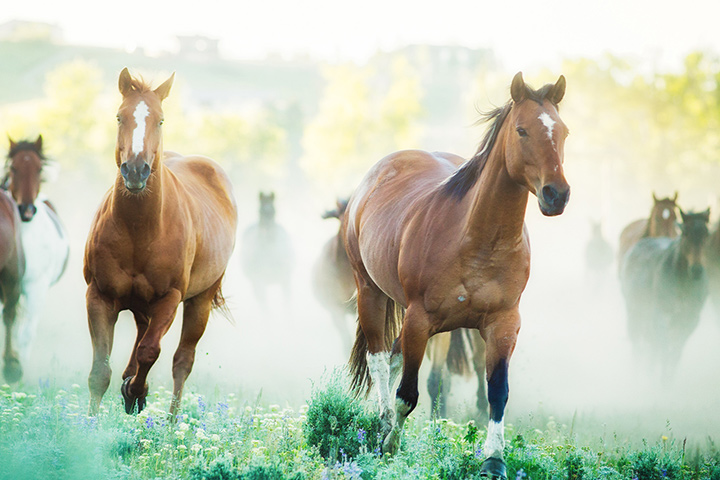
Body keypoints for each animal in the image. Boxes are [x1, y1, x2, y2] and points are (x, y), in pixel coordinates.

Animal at [84, 68, 238, 418]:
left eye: (161, 120)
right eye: (119, 117)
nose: (135, 170)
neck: (139, 230)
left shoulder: (170, 298)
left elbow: (150, 352)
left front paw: (135, 391)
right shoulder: (98, 295)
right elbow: (100, 370)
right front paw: (89, 423)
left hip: (199, 302)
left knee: (182, 360)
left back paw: (169, 421)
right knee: (142, 332)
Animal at [343, 72, 569, 478]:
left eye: (563, 131)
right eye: (522, 130)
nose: (556, 194)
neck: (477, 241)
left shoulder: (503, 323)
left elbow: (498, 392)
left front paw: (494, 460)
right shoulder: (419, 320)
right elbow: (407, 395)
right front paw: (390, 445)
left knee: (393, 356)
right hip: (370, 291)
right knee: (380, 358)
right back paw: (382, 422)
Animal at [620, 209, 710, 382]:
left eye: (706, 234)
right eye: (685, 233)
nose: (697, 270)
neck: (683, 285)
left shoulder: (689, 321)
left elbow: (675, 352)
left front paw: (667, 381)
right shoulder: (661, 316)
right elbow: (663, 348)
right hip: (635, 312)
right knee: (639, 346)